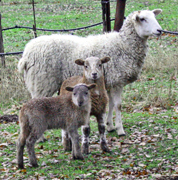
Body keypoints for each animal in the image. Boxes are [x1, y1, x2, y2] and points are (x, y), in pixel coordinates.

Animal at [18, 8, 163, 135]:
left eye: (154, 16)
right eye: (142, 19)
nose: (160, 30)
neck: (124, 44)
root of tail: (26, 54)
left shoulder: (110, 82)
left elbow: (110, 104)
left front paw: (110, 126)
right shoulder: (117, 81)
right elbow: (118, 105)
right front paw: (120, 130)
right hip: (42, 81)